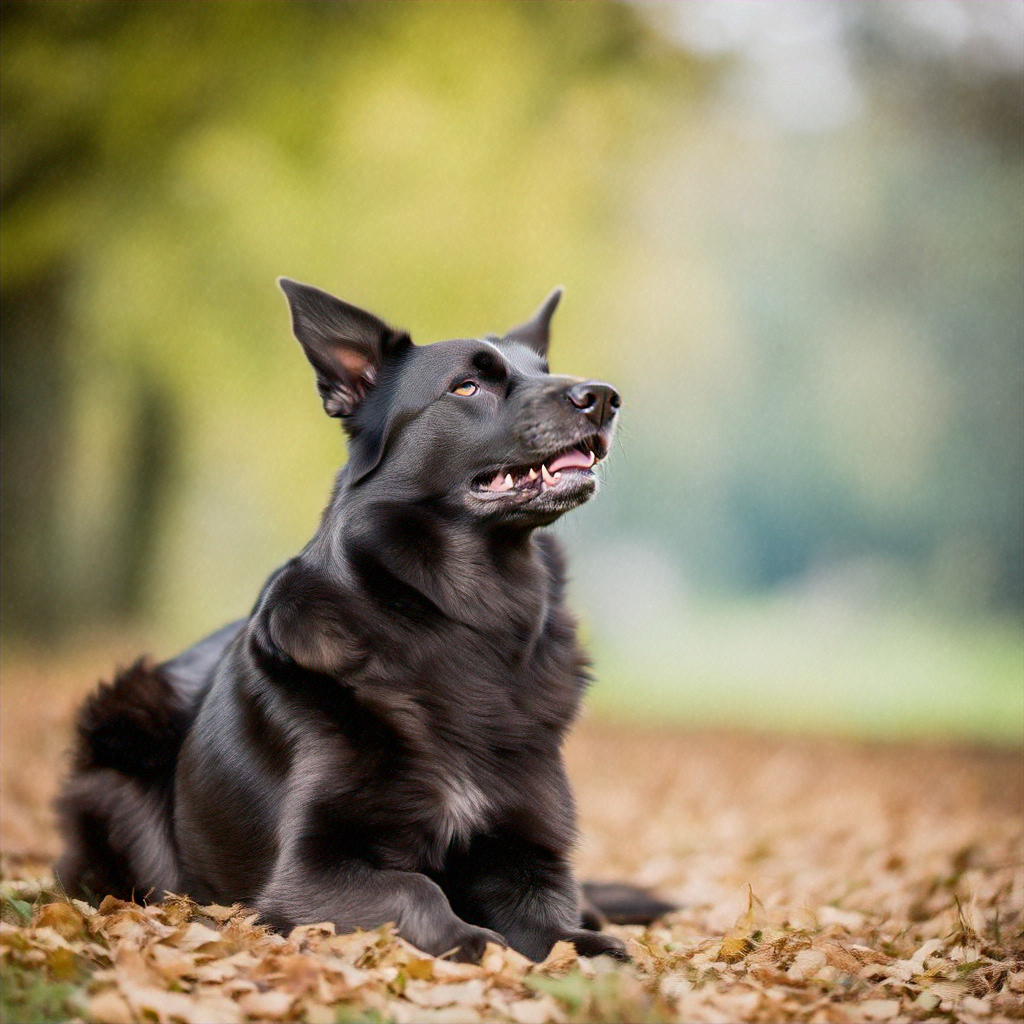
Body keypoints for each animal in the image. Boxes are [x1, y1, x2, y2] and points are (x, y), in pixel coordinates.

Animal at [58, 284, 663, 962]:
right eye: (467, 387)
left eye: (542, 369)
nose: (604, 398)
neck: (461, 620)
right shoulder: (304, 874)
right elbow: (416, 889)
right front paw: (474, 941)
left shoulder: (528, 853)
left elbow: (559, 923)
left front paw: (585, 949)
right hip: (126, 723)